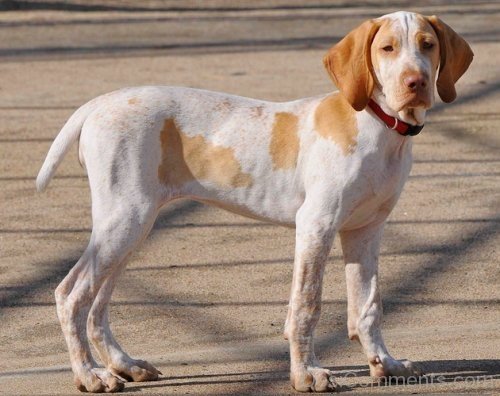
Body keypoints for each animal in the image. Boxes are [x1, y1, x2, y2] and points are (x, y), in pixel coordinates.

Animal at [36, 11, 472, 392]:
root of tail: (100, 102)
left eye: (428, 45)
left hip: (132, 228)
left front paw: (385, 364)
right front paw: (306, 375)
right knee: (71, 296)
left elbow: (368, 306)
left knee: (97, 305)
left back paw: (123, 365)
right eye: (387, 48)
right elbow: (306, 306)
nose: (416, 82)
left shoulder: (365, 231)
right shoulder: (316, 225)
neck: (379, 126)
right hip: (125, 221)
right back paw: (90, 376)